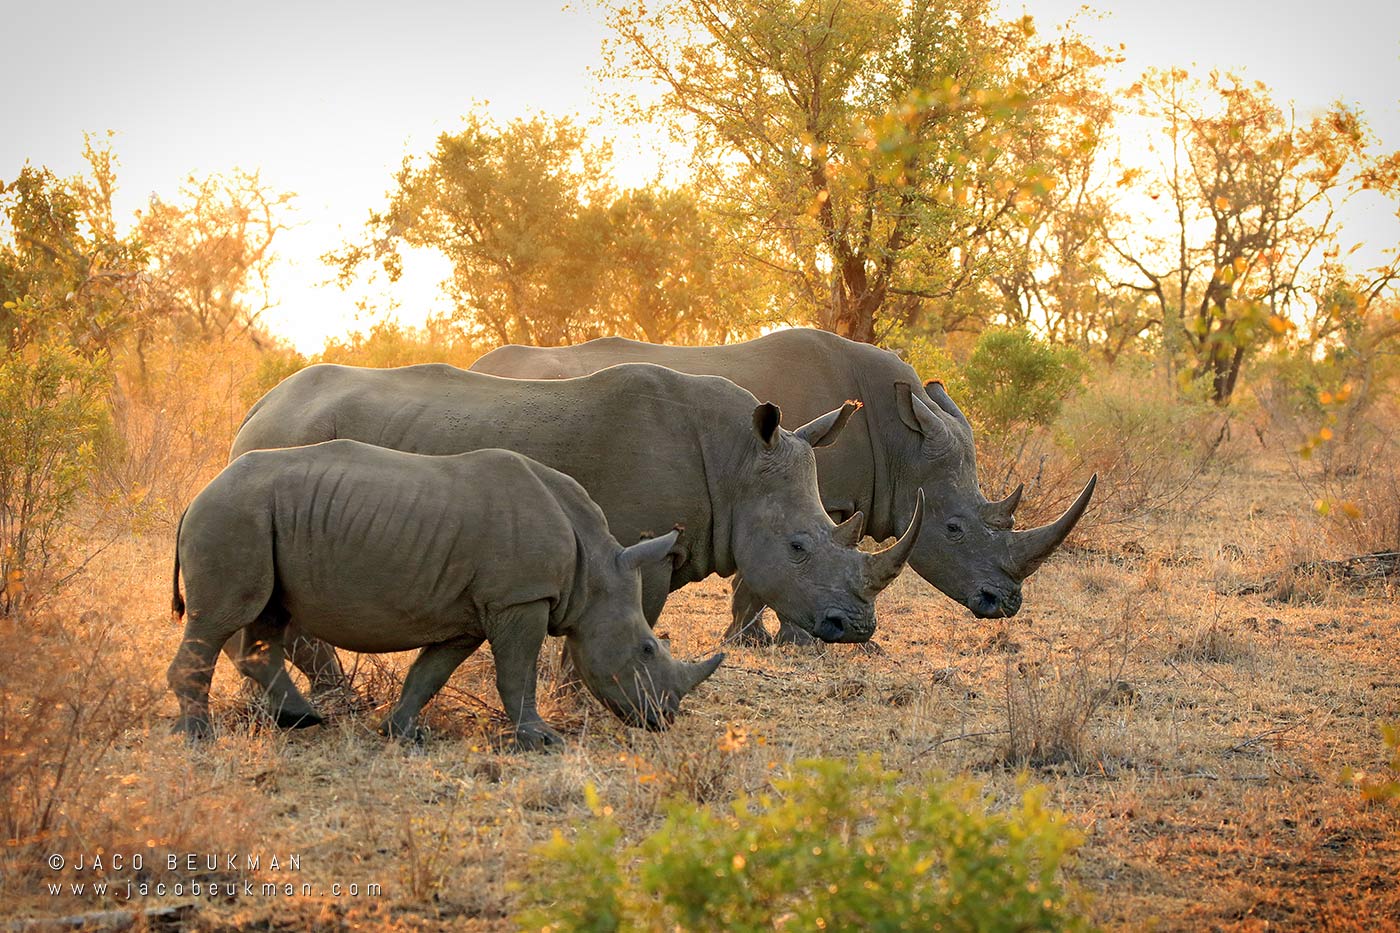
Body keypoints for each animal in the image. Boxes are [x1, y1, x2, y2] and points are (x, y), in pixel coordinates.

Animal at [168, 442, 725, 747]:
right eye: (647, 649)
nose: (664, 719)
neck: (594, 570)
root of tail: (198, 494)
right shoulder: (519, 599)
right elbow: (516, 673)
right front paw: (541, 740)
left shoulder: (472, 614)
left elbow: (431, 672)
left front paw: (401, 733)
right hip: (234, 514)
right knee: (220, 620)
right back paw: (200, 736)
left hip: (255, 517)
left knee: (267, 618)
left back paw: (301, 720)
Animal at [225, 361, 923, 706]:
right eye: (799, 547)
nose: (857, 628)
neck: (735, 462)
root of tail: (258, 405)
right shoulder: (641, 547)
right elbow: (633, 617)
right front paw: (584, 696)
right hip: (288, 444)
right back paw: (328, 699)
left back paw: (330, 696)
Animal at [472, 328, 1096, 643]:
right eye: (954, 529)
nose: (1005, 605)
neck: (901, 441)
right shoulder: (814, 492)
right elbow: (776, 569)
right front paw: (781, 642)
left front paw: (754, 638)